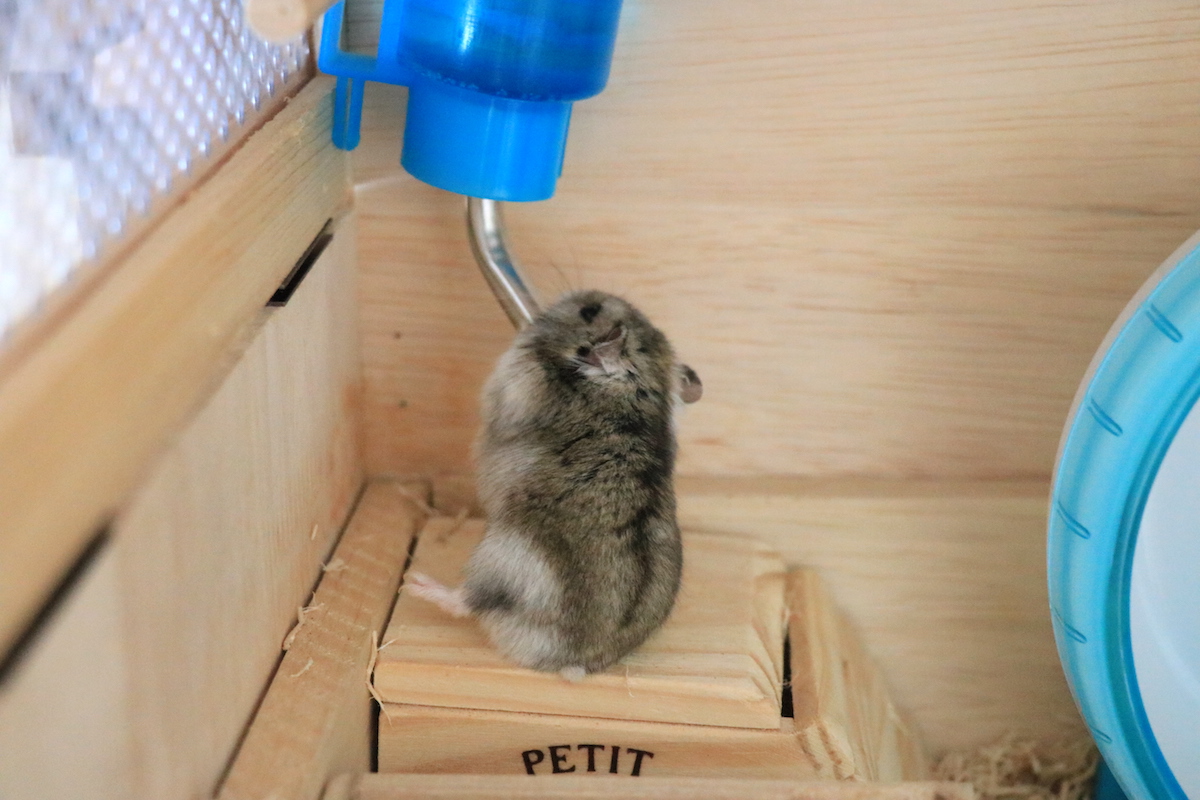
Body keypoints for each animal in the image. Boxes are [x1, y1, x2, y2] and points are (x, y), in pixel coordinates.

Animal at [408, 291, 700, 681]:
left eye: (588, 311)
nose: (581, 295)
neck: (635, 386)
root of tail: (574, 660)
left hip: (504, 556)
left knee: (469, 602)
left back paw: (417, 583)